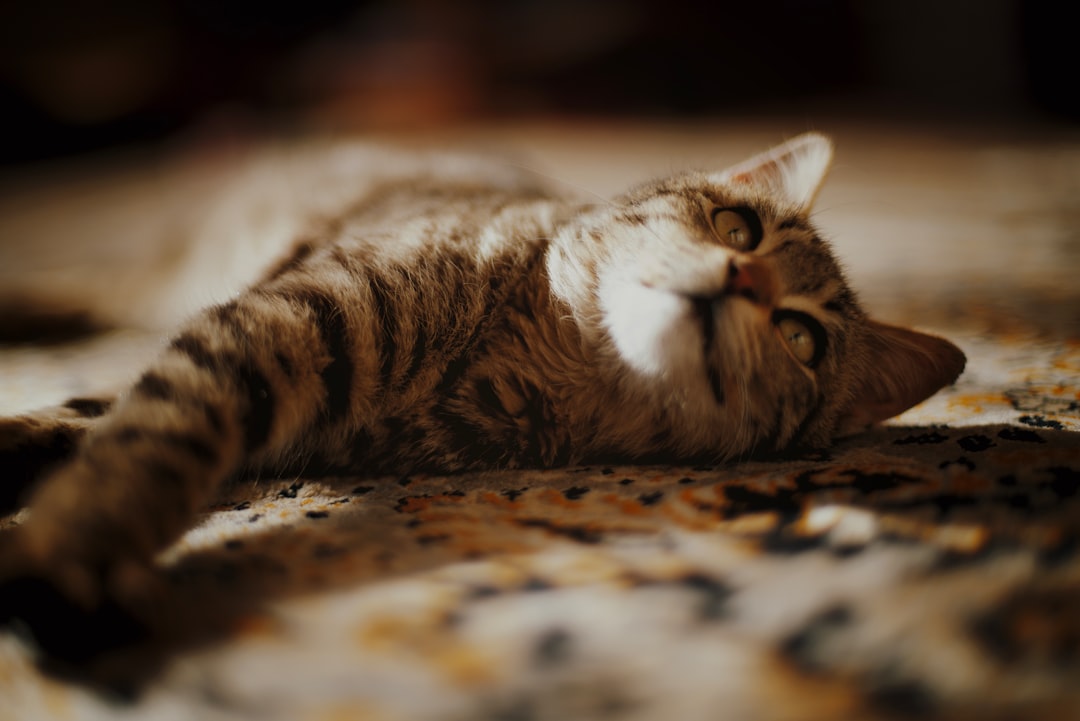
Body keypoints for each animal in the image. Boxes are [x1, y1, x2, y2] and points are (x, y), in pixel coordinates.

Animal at [0, 132, 963, 669]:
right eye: (738, 226)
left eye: (802, 339)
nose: (736, 277)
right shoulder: (278, 322)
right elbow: (146, 435)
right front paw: (73, 540)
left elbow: (119, 425)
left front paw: (60, 541)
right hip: (164, 275)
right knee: (89, 288)